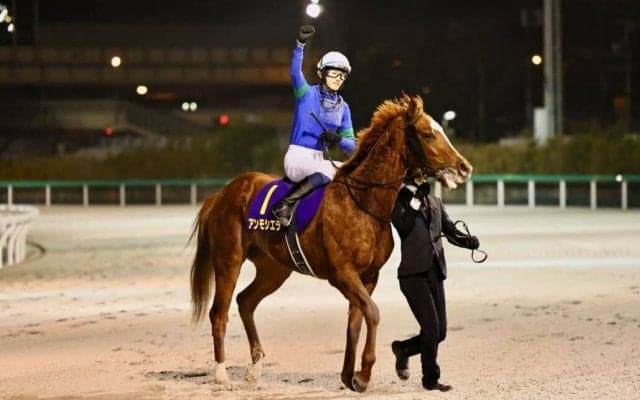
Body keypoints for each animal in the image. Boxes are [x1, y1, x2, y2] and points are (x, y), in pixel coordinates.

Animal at [190, 94, 472, 392]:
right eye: (428, 134)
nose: (464, 167)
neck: (362, 203)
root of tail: (221, 194)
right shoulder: (343, 274)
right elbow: (372, 313)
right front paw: (363, 374)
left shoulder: (368, 276)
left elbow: (356, 320)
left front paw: (350, 375)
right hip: (228, 260)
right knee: (219, 312)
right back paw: (221, 373)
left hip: (274, 269)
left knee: (245, 301)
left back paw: (255, 369)